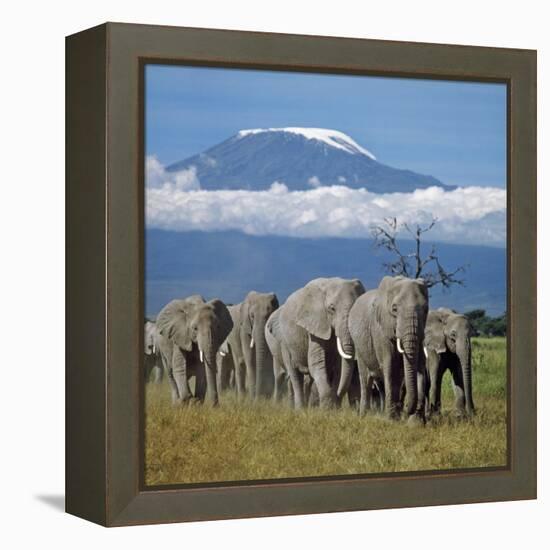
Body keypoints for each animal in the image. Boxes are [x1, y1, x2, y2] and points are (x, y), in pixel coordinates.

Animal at [276, 280, 366, 410]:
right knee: (295, 375)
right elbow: (316, 363)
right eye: (332, 308)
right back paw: (300, 409)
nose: (339, 394)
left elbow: (338, 367)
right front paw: (326, 409)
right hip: (285, 341)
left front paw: (334, 408)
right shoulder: (316, 324)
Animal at [344, 276, 432, 426]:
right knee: (366, 379)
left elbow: (420, 366)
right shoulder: (380, 330)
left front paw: (416, 423)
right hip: (360, 346)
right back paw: (364, 416)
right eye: (394, 309)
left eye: (426, 309)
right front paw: (392, 420)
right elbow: (389, 367)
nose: (406, 407)